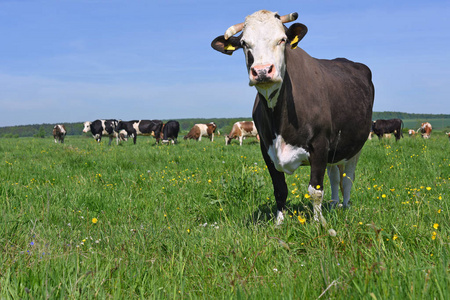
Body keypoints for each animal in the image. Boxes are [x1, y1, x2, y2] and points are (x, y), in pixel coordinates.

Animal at [213, 9, 374, 226]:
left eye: (282, 39)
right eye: (245, 43)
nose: (262, 71)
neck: (279, 120)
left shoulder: (320, 144)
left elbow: (315, 190)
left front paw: (318, 224)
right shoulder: (267, 149)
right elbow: (280, 190)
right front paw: (279, 223)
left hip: (356, 146)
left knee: (347, 178)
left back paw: (345, 206)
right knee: (334, 176)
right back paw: (333, 204)